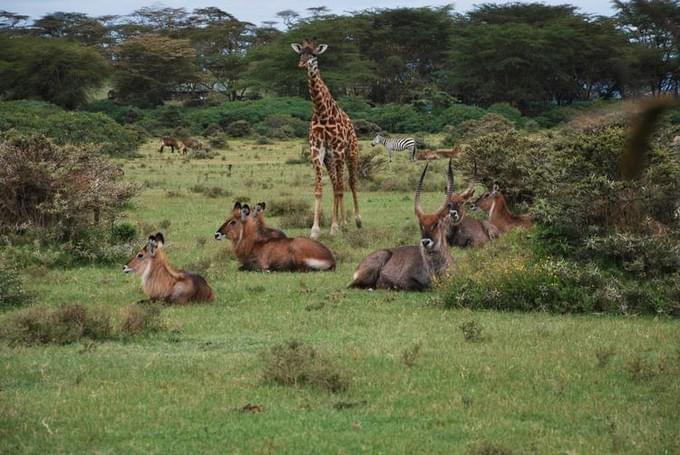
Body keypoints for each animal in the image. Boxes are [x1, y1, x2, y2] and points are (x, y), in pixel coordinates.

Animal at [290, 38, 362, 242]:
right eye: (301, 53)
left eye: (314, 54)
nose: (302, 64)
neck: (322, 112)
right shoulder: (317, 151)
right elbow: (320, 189)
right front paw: (316, 230)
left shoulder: (337, 150)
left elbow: (340, 188)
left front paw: (334, 227)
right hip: (330, 160)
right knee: (337, 184)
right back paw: (343, 222)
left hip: (350, 153)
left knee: (350, 183)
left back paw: (356, 220)